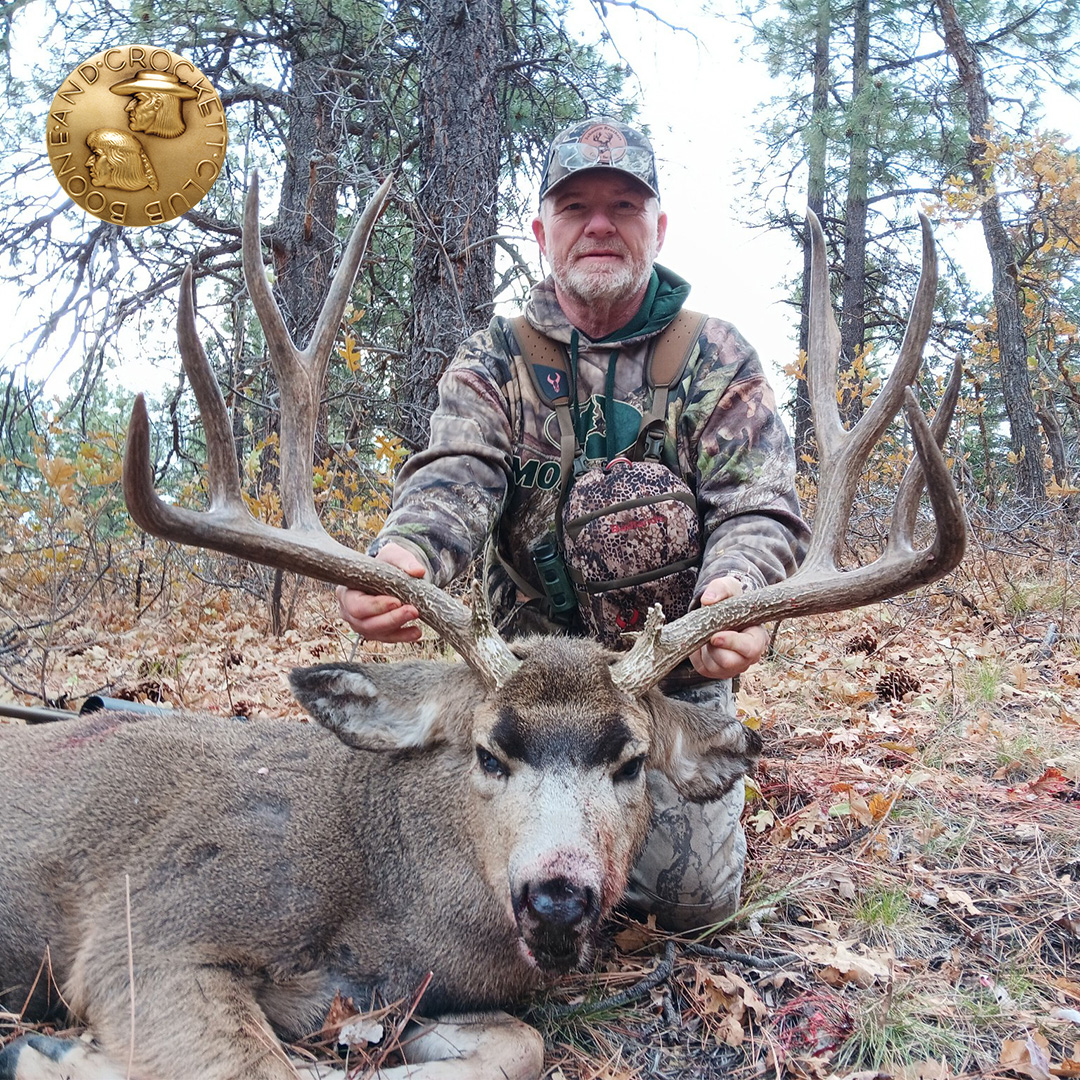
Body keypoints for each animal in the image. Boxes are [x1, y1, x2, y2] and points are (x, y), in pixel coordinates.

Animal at [0, 172, 965, 1080]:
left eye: (632, 761)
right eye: (489, 751)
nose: (558, 897)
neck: (389, 912)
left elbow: (514, 1045)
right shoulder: (153, 925)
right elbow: (253, 1065)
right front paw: (50, 1051)